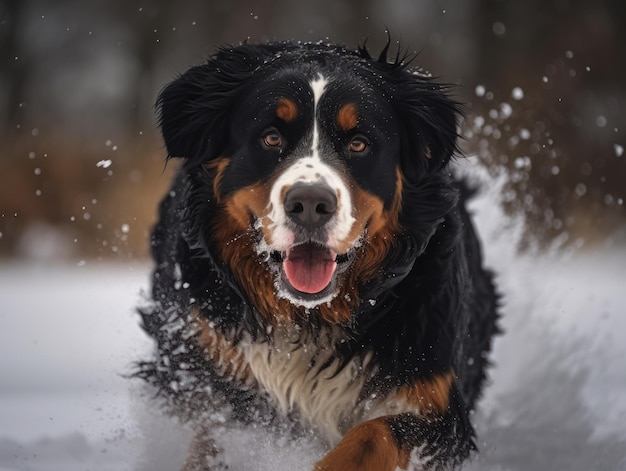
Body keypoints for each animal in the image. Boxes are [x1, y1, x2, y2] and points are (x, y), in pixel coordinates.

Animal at [136, 41, 498, 471]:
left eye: (359, 143)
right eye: (271, 137)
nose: (310, 203)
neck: (308, 320)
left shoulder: (435, 400)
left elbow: (371, 435)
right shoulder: (209, 366)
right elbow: (210, 437)